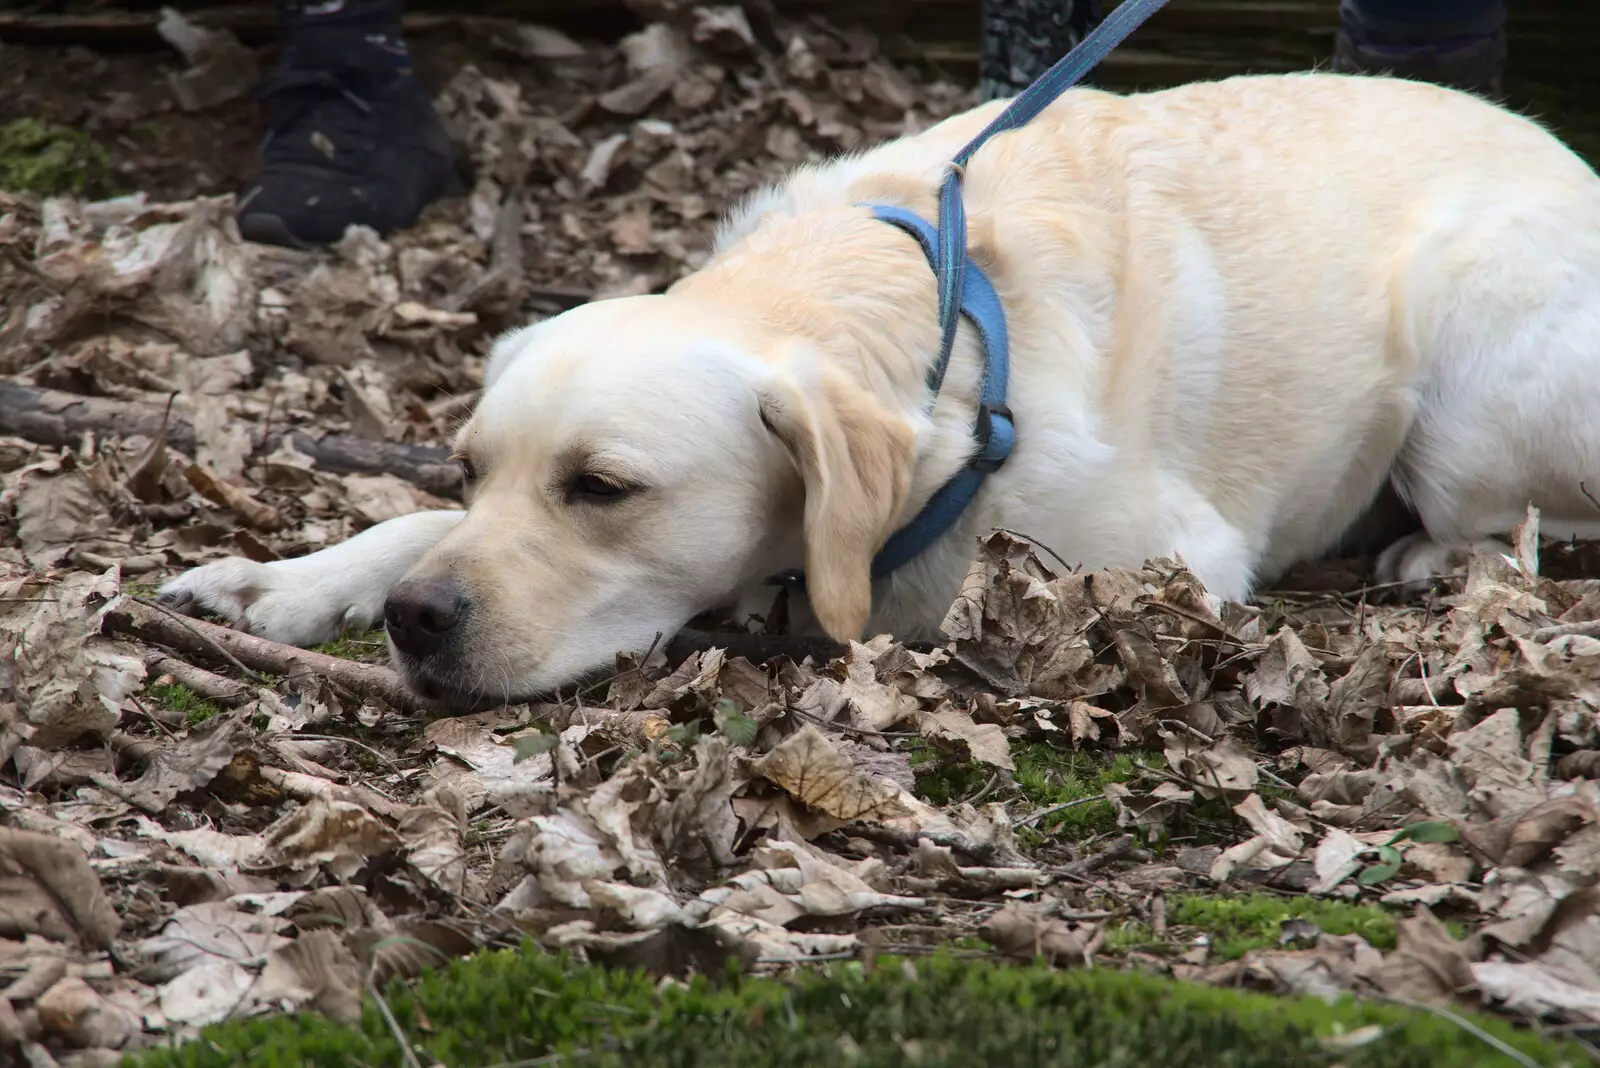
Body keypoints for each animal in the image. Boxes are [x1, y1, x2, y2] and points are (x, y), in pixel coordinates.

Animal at [159, 73, 1600, 709]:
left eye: (604, 490)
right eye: (471, 469)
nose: (416, 623)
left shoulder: (1160, 557)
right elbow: (410, 525)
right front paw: (291, 579)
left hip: (1464, 374)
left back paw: (1431, 553)